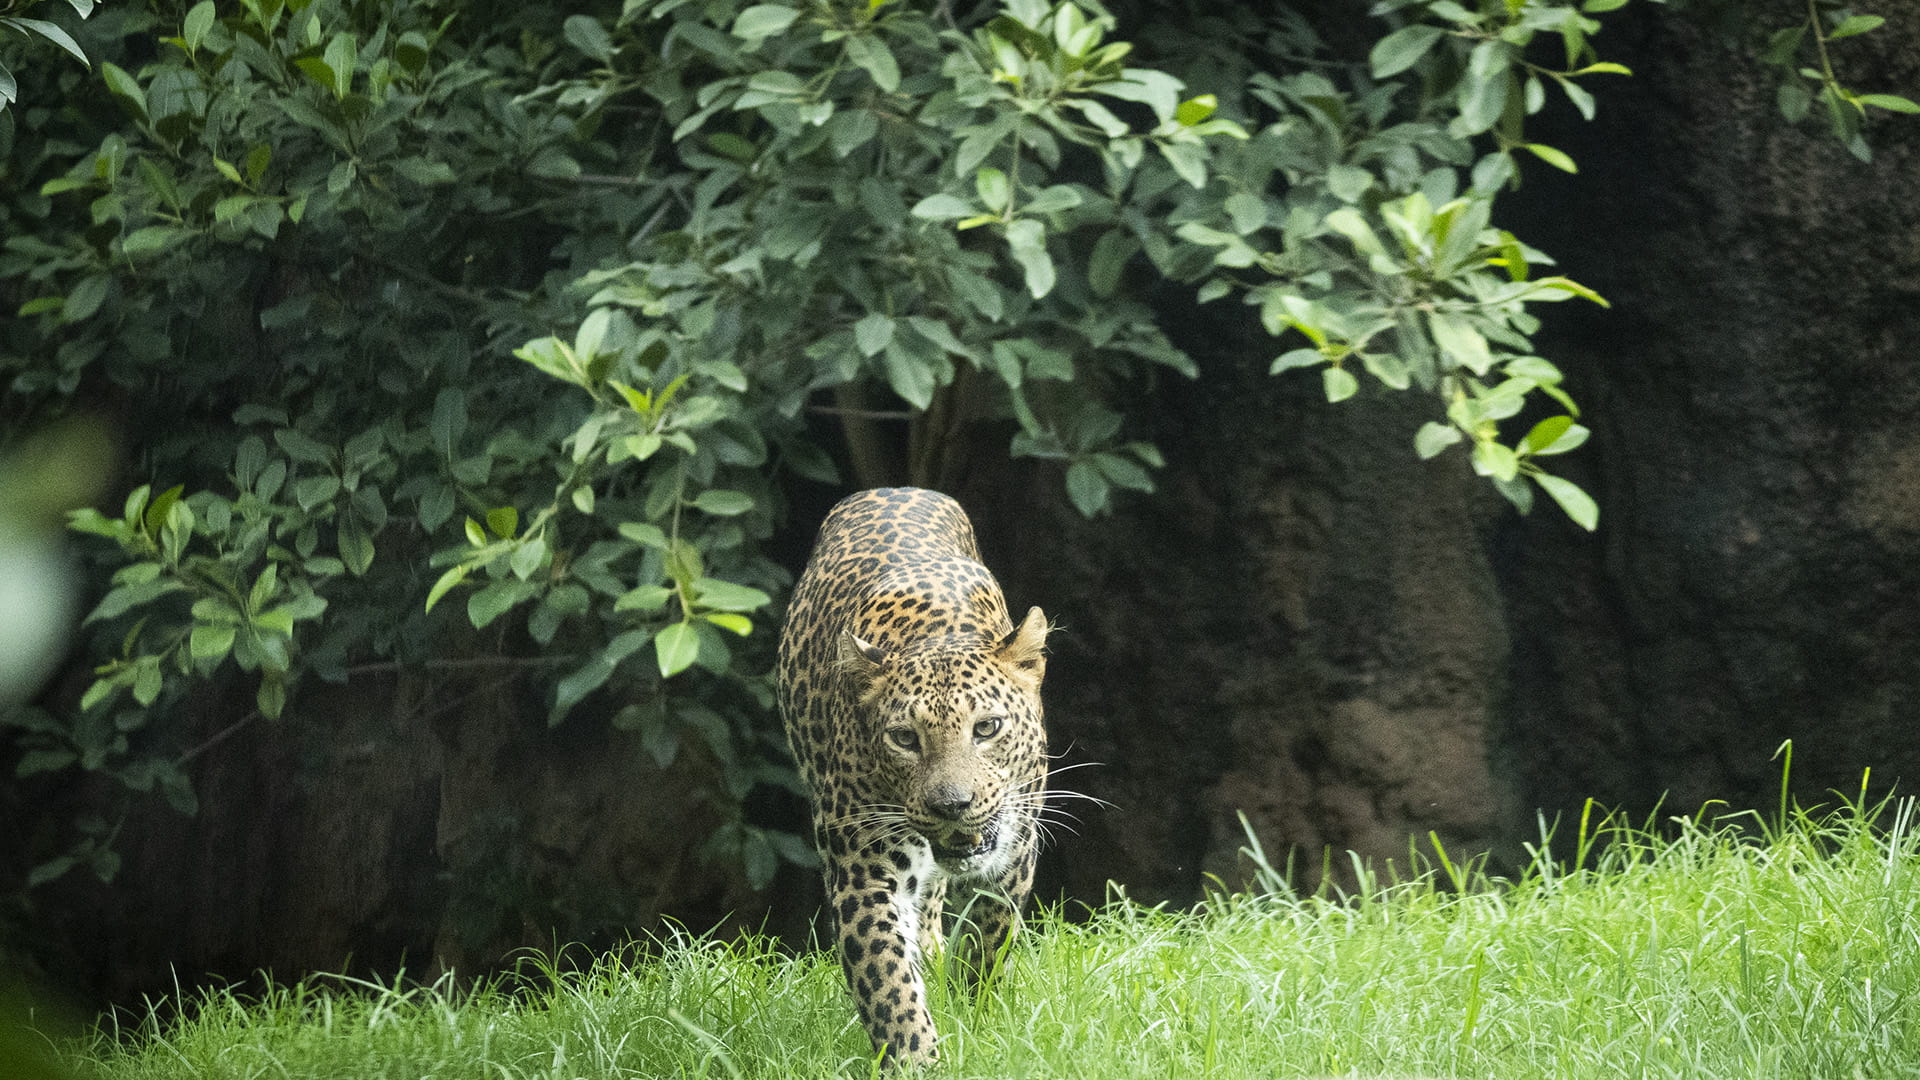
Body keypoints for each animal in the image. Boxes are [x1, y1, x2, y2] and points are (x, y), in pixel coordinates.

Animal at [777, 486, 1051, 1065]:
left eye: (987, 728)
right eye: (904, 739)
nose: (952, 805)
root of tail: (895, 487)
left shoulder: (1014, 856)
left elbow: (990, 944)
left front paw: (979, 1017)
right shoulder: (862, 871)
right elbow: (887, 980)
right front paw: (918, 1061)